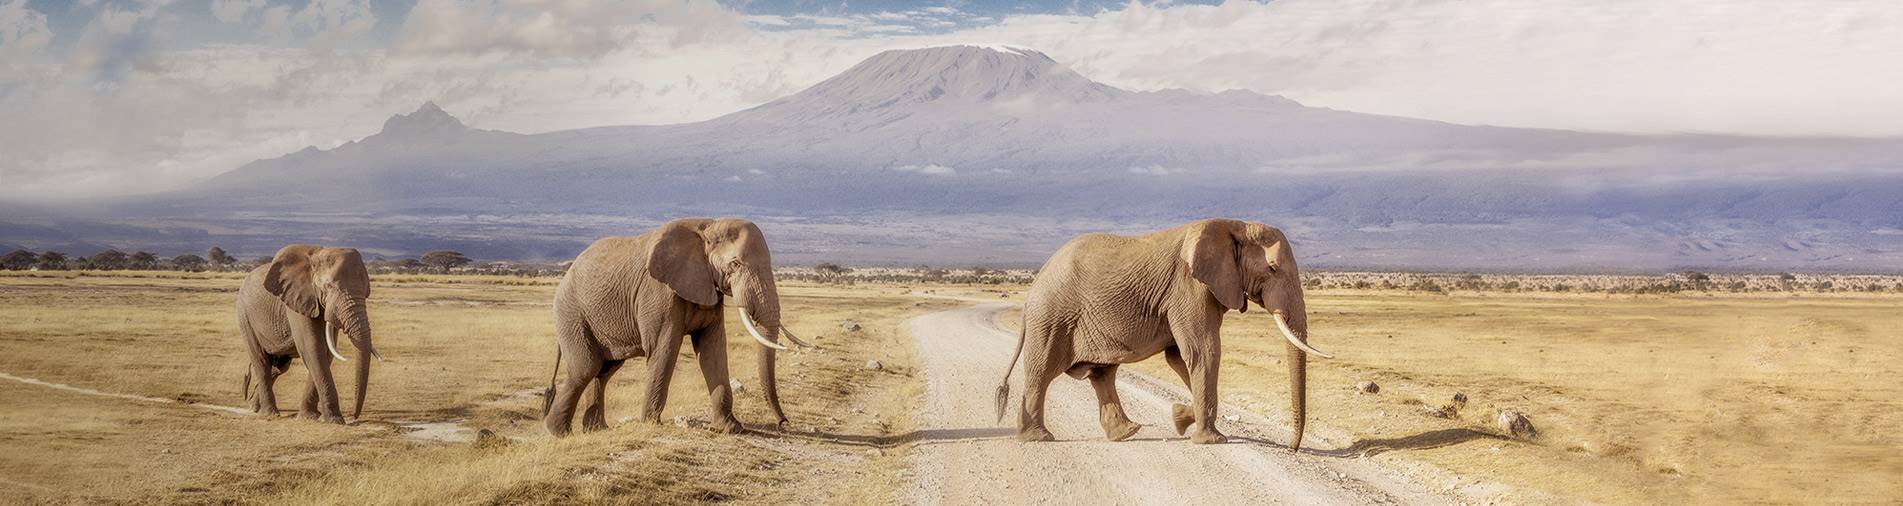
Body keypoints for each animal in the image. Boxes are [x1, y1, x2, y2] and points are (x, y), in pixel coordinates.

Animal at [237, 245, 382, 424]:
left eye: (366, 291)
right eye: (328, 287)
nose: (353, 417)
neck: (317, 255)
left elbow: (326, 351)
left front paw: (311, 417)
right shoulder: (297, 300)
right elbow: (313, 347)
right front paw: (334, 421)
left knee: (279, 366)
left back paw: (253, 406)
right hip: (245, 317)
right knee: (261, 361)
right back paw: (269, 413)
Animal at [542, 218, 813, 437]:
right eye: (735, 264)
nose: (783, 423)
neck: (708, 227)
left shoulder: (707, 286)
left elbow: (712, 350)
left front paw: (730, 428)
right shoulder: (658, 292)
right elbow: (665, 349)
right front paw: (651, 424)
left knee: (604, 370)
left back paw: (596, 430)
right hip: (570, 313)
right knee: (586, 367)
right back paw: (559, 433)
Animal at [994, 219, 1333, 449]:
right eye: (1273, 268)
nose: (1292, 447)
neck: (1234, 224)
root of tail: (1035, 284)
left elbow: (1180, 357)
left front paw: (1180, 418)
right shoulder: (1189, 287)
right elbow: (1204, 350)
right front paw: (1212, 440)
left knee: (1102, 374)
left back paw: (1126, 433)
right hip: (1052, 319)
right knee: (1042, 372)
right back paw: (1038, 438)